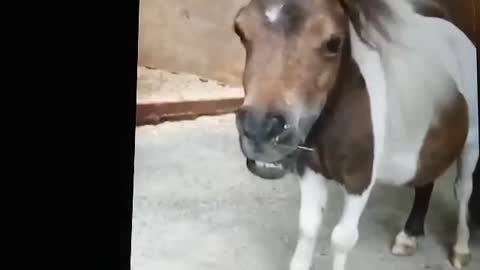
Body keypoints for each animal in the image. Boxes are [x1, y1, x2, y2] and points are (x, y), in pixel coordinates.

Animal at [232, 0, 476, 270]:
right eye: (240, 30)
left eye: (333, 43)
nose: (259, 129)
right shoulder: (310, 171)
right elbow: (307, 227)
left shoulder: (360, 181)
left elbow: (342, 239)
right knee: (425, 181)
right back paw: (409, 236)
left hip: (471, 146)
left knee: (463, 190)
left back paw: (461, 250)